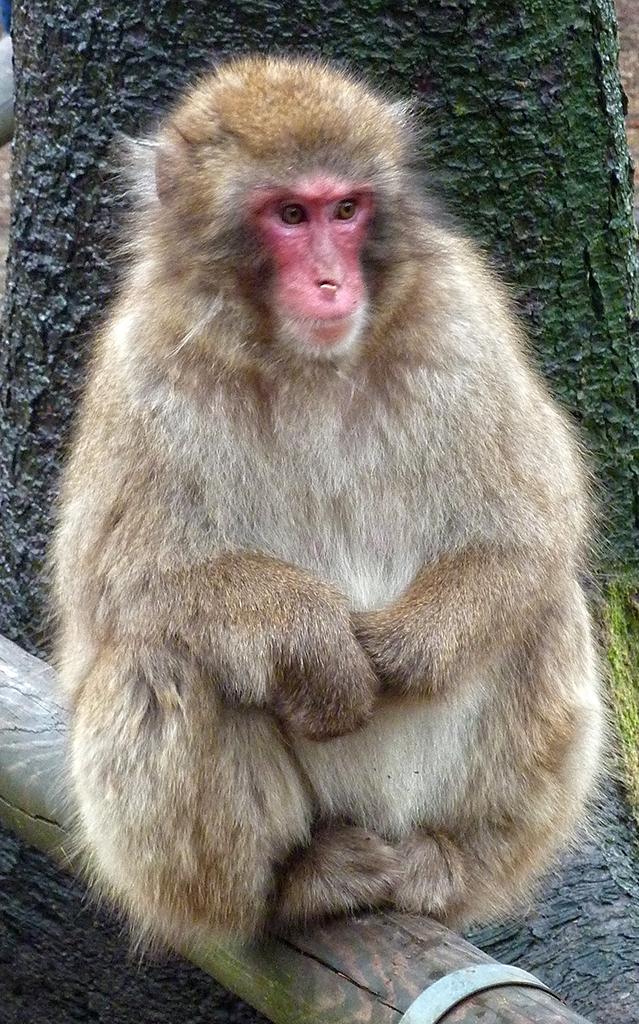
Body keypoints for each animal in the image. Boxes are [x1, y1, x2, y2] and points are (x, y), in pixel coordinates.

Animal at [51, 55, 604, 948]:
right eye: (288, 214)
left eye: (345, 210)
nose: (330, 281)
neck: (306, 362)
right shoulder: (143, 367)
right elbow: (124, 586)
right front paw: (318, 644)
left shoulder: (462, 321)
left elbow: (531, 528)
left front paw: (405, 650)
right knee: (157, 657)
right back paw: (295, 883)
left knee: (542, 607)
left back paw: (448, 860)